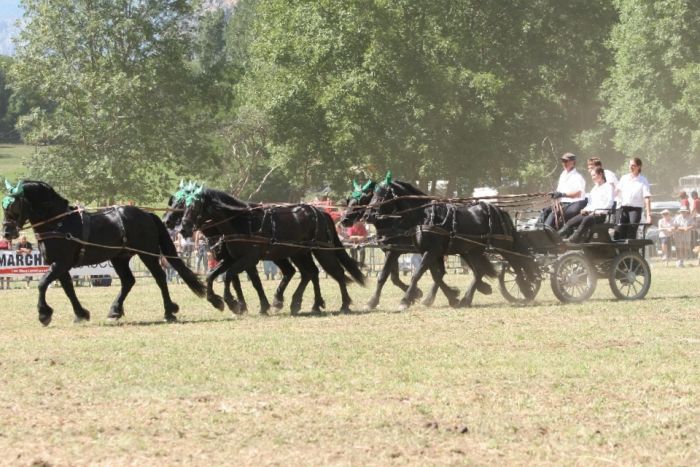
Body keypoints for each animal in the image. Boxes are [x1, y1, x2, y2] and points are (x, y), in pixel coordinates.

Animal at [2, 181, 205, 328]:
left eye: (14, 206)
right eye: (4, 206)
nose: (6, 232)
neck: (58, 223)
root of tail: (147, 215)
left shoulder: (61, 263)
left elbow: (43, 283)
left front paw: (44, 314)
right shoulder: (61, 265)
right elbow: (68, 289)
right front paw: (81, 314)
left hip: (147, 254)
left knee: (160, 277)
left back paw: (169, 311)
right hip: (119, 258)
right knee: (128, 281)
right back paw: (115, 311)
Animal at [178, 187, 364, 314]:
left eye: (195, 206)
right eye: (184, 207)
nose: (183, 228)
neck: (241, 222)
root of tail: (320, 212)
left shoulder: (248, 259)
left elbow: (231, 276)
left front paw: (232, 303)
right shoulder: (232, 258)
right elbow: (212, 275)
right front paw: (217, 301)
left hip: (321, 250)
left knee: (336, 272)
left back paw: (344, 304)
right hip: (298, 253)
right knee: (309, 273)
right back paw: (306, 303)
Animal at [340, 179, 460, 310]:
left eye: (362, 199)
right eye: (349, 199)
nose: (344, 220)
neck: (392, 222)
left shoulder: (394, 252)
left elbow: (383, 276)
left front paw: (372, 302)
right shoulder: (390, 251)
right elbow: (394, 278)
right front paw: (416, 293)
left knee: (439, 273)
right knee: (439, 273)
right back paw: (442, 297)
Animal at [366, 177, 536, 308]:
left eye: (383, 194)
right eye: (372, 195)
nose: (368, 215)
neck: (423, 216)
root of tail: (499, 210)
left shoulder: (428, 251)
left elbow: (417, 275)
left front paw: (405, 300)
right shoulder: (425, 252)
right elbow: (434, 276)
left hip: (502, 246)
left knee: (516, 263)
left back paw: (526, 290)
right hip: (472, 250)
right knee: (479, 271)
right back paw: (468, 298)